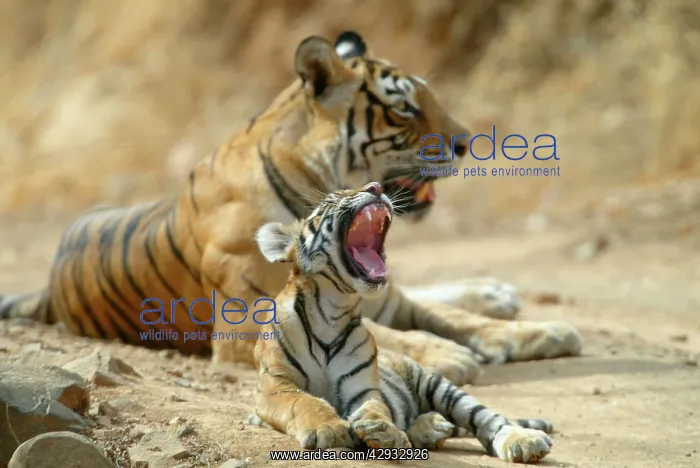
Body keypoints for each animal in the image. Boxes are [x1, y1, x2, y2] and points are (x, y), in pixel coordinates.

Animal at [0, 31, 581, 386]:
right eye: (403, 108)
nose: (465, 144)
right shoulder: (249, 320)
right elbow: (401, 333)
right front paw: (450, 355)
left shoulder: (387, 300)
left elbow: (452, 318)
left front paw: (542, 332)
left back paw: (498, 294)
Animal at [252, 181, 554, 463]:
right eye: (330, 201)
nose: (375, 187)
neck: (333, 310)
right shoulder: (275, 384)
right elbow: (303, 401)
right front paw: (328, 428)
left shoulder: (362, 386)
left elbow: (376, 408)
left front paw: (385, 432)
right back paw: (431, 428)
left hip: (438, 385)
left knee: (485, 418)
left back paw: (521, 440)